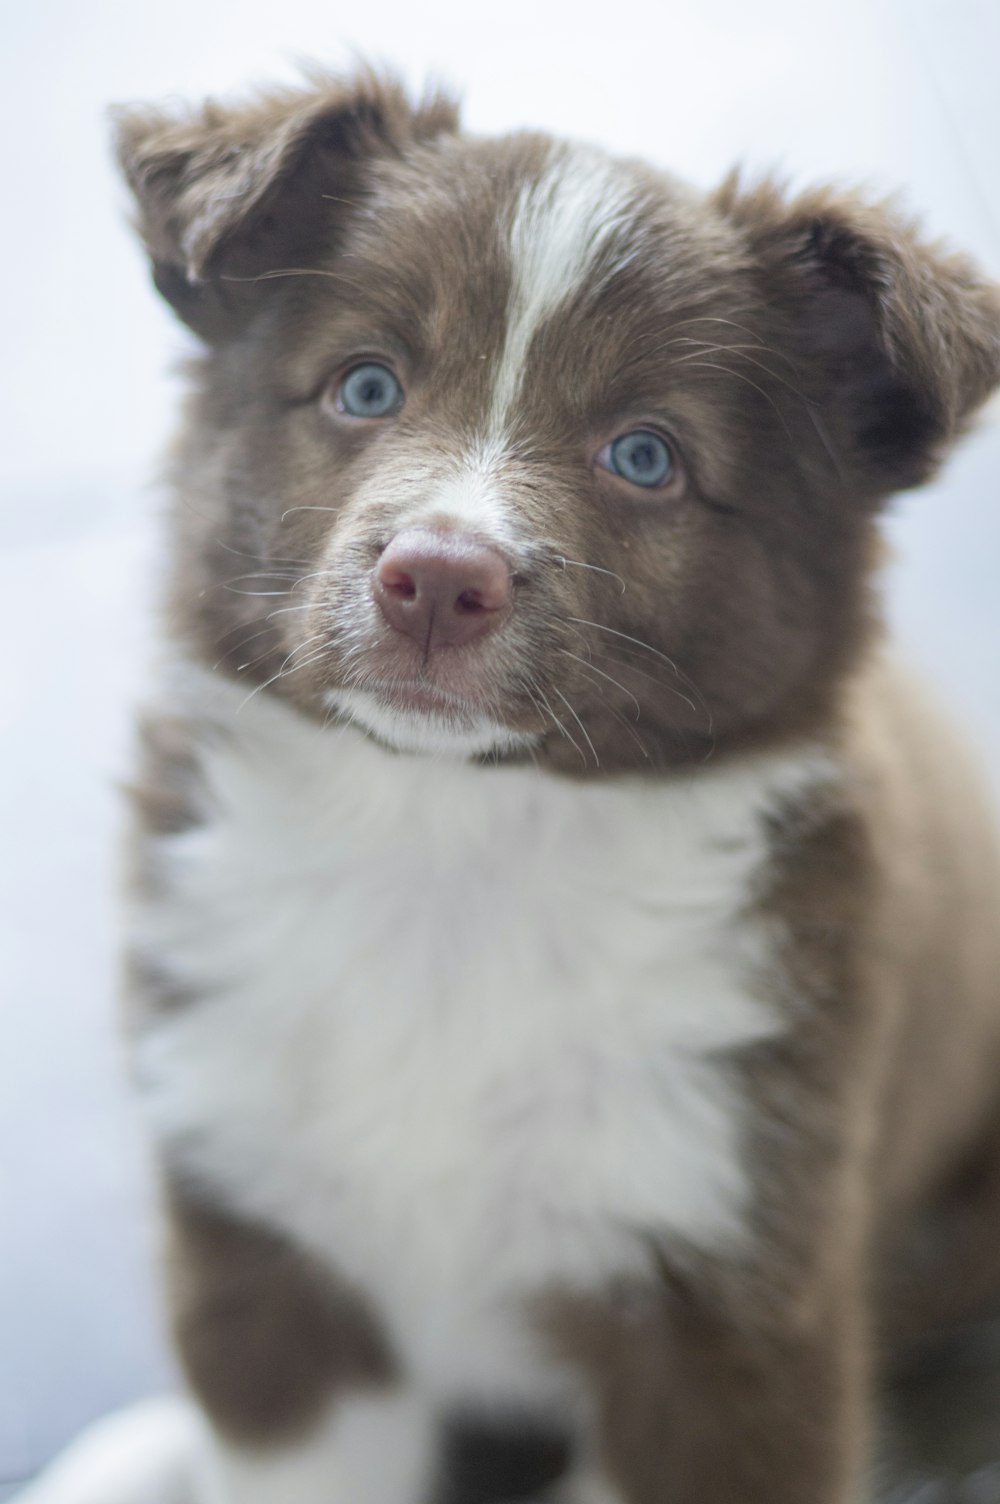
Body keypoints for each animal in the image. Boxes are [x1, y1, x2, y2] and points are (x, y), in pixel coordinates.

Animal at [19, 70, 998, 1504]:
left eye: (644, 457)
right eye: (365, 384)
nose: (436, 577)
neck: (451, 840)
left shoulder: (730, 1301)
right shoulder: (267, 1251)